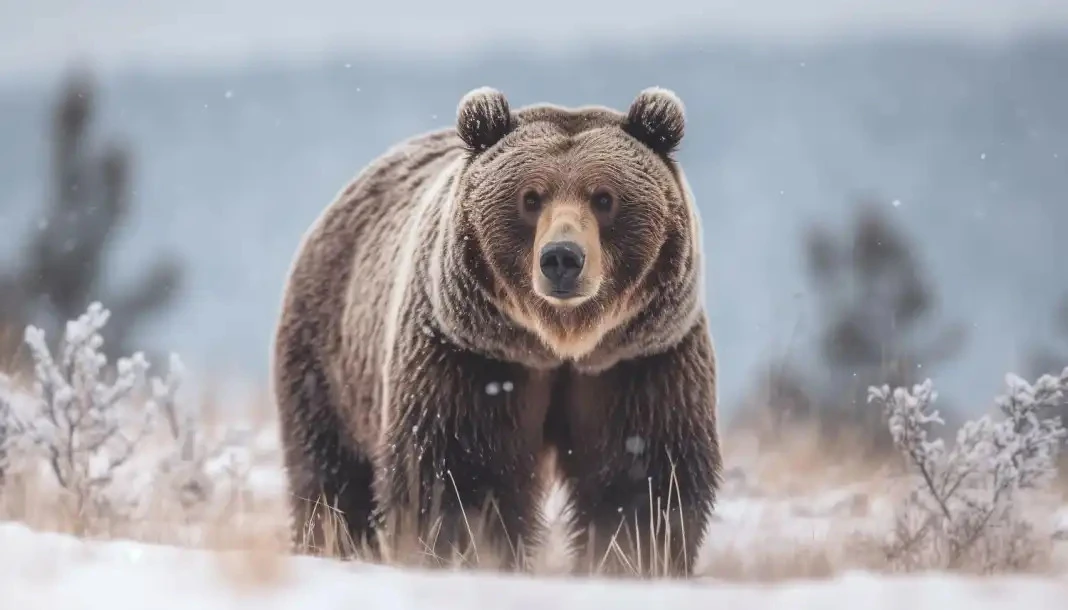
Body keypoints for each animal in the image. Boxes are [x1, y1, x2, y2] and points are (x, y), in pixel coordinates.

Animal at [271, 86, 722, 577]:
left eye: (604, 198)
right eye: (531, 198)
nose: (562, 258)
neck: (560, 343)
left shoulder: (637, 359)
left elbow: (641, 470)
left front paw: (632, 559)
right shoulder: (472, 355)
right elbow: (462, 471)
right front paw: (469, 551)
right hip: (331, 353)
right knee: (331, 472)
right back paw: (334, 542)